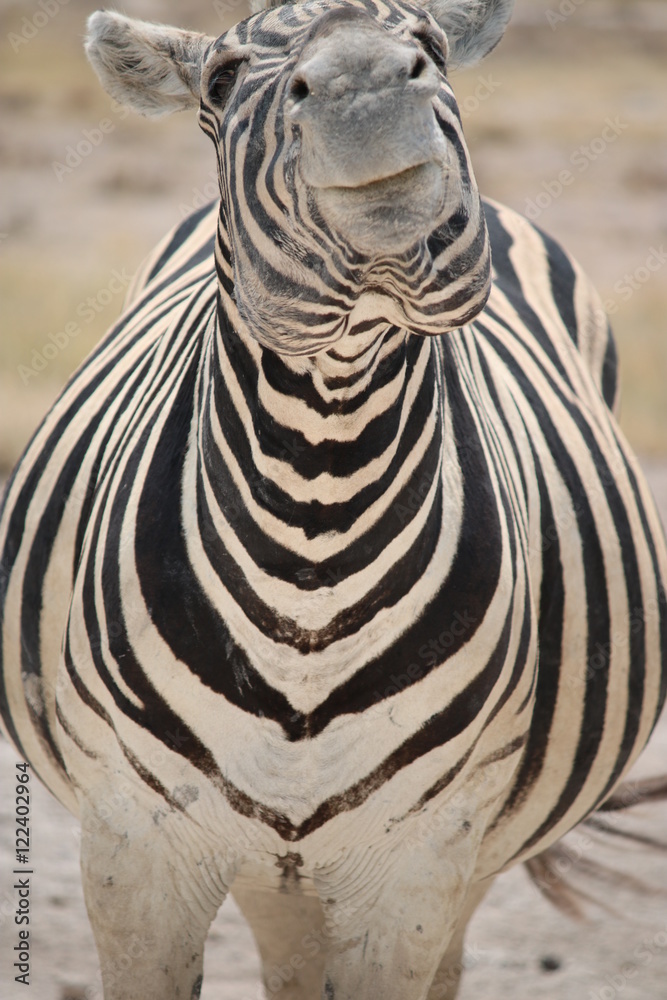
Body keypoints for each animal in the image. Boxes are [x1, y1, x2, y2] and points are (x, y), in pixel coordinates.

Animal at [1, 0, 666, 996]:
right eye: (223, 80)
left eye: (427, 47)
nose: (367, 85)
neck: (320, 495)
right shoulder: (135, 847)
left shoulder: (419, 856)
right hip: (276, 870)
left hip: (460, 854)